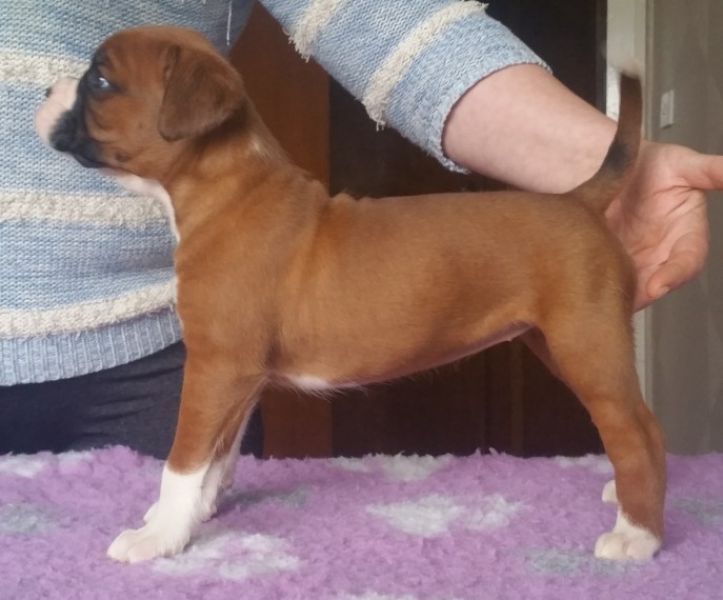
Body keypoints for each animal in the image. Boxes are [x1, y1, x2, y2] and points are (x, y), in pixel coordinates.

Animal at [36, 26, 665, 564]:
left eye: (100, 81)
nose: (45, 89)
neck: (229, 188)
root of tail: (579, 199)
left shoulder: (214, 368)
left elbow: (184, 461)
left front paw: (159, 536)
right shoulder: (240, 378)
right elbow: (218, 456)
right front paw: (191, 517)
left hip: (587, 346)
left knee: (634, 433)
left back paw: (637, 535)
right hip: (557, 344)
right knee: (645, 427)